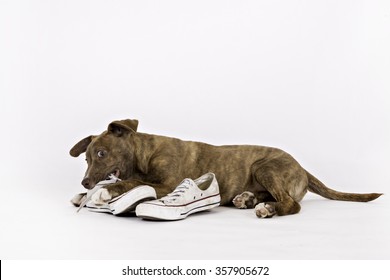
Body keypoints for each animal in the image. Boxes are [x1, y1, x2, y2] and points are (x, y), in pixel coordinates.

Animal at [69, 119, 380, 218]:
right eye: (85, 159)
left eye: (101, 153)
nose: (85, 183)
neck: (144, 155)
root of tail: (302, 167)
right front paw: (82, 196)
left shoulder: (168, 184)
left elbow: (134, 183)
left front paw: (104, 192)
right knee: (277, 196)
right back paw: (248, 199)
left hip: (266, 167)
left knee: (291, 203)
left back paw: (266, 209)